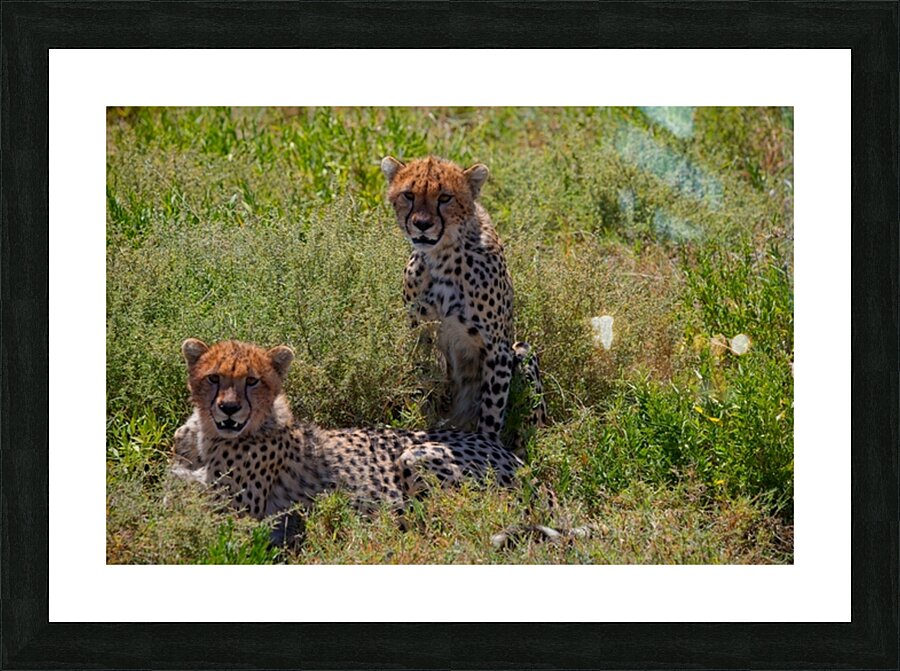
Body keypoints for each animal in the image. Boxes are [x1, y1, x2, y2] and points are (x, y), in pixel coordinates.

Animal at [381, 155, 547, 454]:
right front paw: (420, 427)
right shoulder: (420, 335)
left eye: (445, 197)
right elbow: (423, 389)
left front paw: (488, 447)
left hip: (522, 351)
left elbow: (492, 408)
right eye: (408, 195)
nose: (422, 224)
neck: (443, 257)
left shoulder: (498, 348)